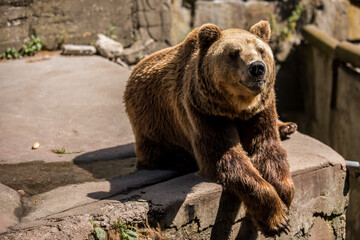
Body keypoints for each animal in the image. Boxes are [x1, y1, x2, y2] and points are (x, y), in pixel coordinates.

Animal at [124, 20, 296, 236]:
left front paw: (284, 195)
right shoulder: (206, 113)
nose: (257, 68)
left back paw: (287, 127)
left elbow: (267, 147)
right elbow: (225, 158)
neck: (239, 107)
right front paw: (277, 219)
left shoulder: (261, 109)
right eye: (234, 53)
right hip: (154, 128)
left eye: (261, 50)